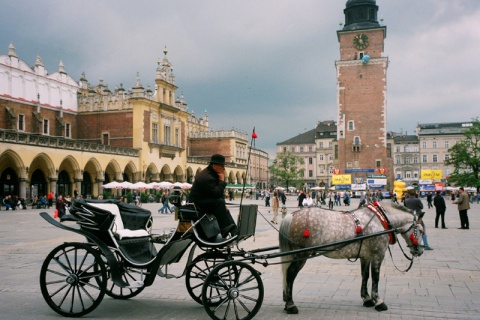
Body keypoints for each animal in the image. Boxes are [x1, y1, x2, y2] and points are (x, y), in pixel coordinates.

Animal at [282, 201, 424, 314]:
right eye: (422, 230)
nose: (420, 250)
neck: (381, 220)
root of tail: (292, 215)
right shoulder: (378, 254)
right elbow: (376, 278)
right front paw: (378, 301)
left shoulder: (365, 256)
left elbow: (365, 275)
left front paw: (367, 299)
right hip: (301, 254)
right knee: (290, 274)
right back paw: (290, 304)